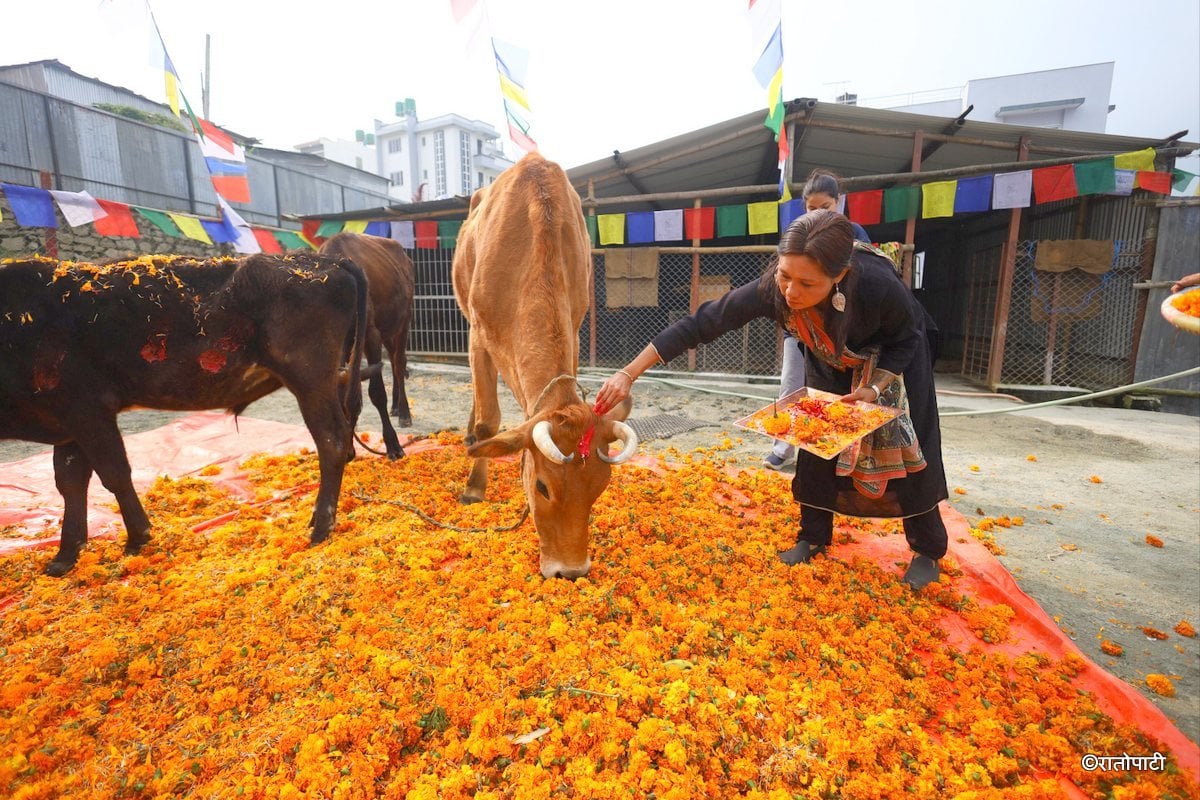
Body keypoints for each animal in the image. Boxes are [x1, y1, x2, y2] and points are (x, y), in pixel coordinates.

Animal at [0, 253, 369, 573]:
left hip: (310, 379)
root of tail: (324, 259)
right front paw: (65, 556)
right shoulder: (65, 422)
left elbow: (114, 474)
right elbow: (70, 482)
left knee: (332, 442)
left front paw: (138, 538)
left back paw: (320, 529)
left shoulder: (88, 409)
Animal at [319, 231, 417, 460]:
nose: (345, 453)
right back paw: (396, 406)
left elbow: (377, 392)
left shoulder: (371, 335)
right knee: (393, 361)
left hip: (404, 319)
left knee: (399, 363)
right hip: (388, 328)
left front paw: (392, 444)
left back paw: (404, 412)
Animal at [451, 153, 638, 578]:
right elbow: (489, 421)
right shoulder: (478, 334)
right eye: (542, 487)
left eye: (601, 486)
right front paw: (474, 487)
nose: (571, 572)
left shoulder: (577, 326)